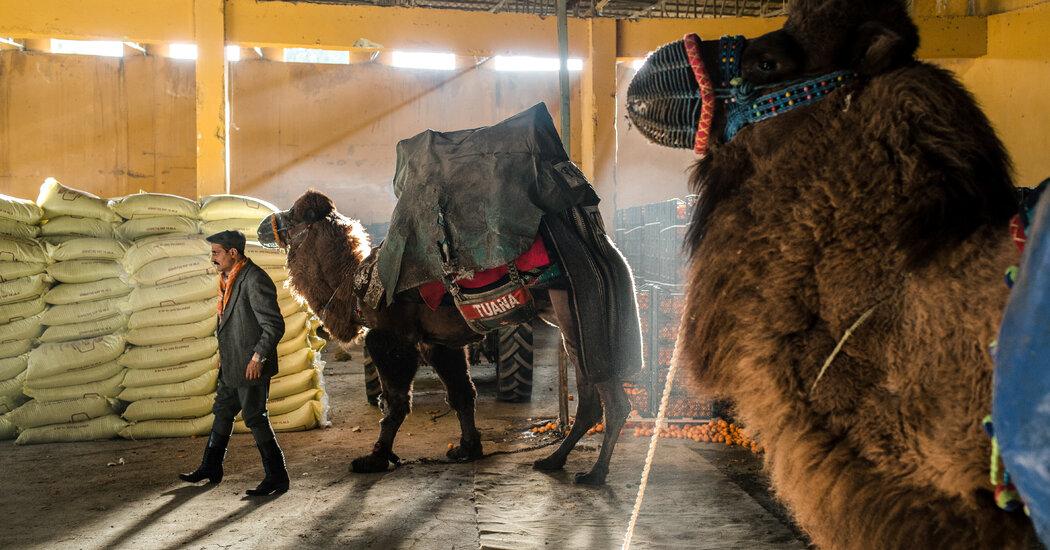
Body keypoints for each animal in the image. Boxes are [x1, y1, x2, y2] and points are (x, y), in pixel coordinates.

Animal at [258, 188, 642, 484]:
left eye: (293, 215)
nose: (265, 225)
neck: (354, 280)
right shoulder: (436, 342)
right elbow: (461, 394)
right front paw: (468, 448)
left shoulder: (391, 337)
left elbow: (394, 403)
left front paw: (375, 459)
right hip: (571, 322)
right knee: (591, 399)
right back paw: (554, 460)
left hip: (583, 314)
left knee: (614, 401)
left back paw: (595, 474)